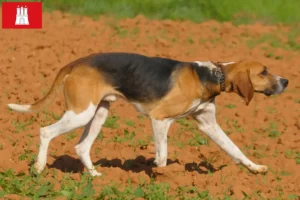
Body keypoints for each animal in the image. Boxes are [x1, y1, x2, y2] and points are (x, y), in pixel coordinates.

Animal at [7, 52, 288, 177]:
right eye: (264, 72)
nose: (285, 81)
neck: (212, 75)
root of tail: (75, 63)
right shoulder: (160, 119)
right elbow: (162, 156)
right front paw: (160, 176)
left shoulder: (209, 124)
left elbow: (235, 149)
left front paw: (255, 168)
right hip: (81, 113)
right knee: (45, 131)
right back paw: (39, 167)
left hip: (99, 113)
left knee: (81, 147)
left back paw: (95, 177)